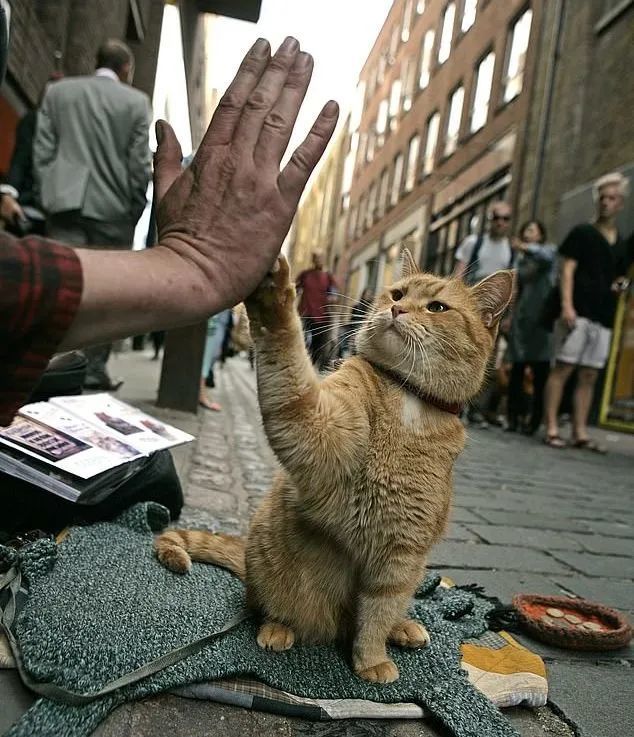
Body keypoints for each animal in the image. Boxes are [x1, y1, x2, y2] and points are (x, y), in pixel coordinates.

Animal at [154, 252, 512, 684]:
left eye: (437, 307)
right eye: (397, 294)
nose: (396, 309)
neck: (408, 400)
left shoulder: (401, 555)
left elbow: (377, 614)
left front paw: (371, 657)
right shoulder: (315, 429)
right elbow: (285, 357)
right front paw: (274, 297)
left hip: (412, 572)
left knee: (390, 612)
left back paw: (403, 627)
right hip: (271, 571)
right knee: (267, 607)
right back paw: (277, 629)